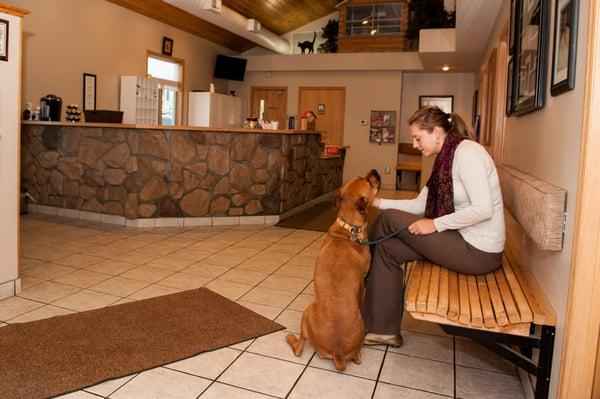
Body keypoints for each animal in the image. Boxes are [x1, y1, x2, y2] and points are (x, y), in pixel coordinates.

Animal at [286, 170, 380, 372]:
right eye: (367, 181)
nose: (374, 172)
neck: (349, 228)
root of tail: (338, 351)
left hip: (308, 313)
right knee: (299, 350)